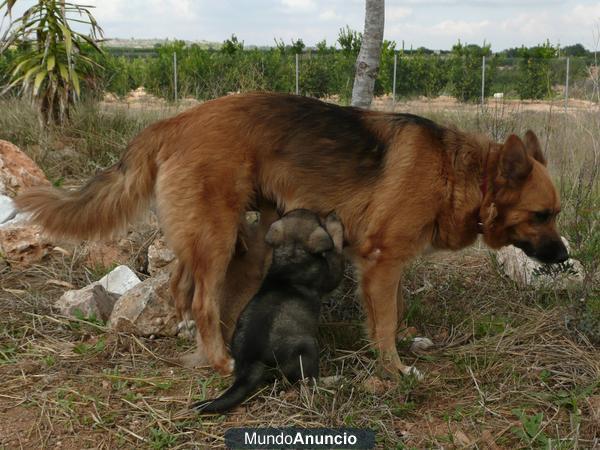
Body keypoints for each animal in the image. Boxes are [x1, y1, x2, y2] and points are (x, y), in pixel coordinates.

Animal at [14, 91, 568, 376]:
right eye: (542, 215)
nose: (564, 257)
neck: (464, 172)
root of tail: (174, 121)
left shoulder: (387, 265)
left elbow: (392, 312)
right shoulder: (382, 260)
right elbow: (385, 322)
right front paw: (392, 372)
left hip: (245, 239)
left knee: (182, 288)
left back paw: (198, 344)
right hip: (218, 238)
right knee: (202, 300)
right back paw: (219, 360)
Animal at [195, 209, 344, 414]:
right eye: (316, 217)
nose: (329, 213)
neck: (292, 253)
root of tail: (253, 360)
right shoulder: (330, 276)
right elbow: (336, 251)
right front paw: (334, 223)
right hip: (308, 347)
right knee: (309, 381)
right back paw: (331, 381)